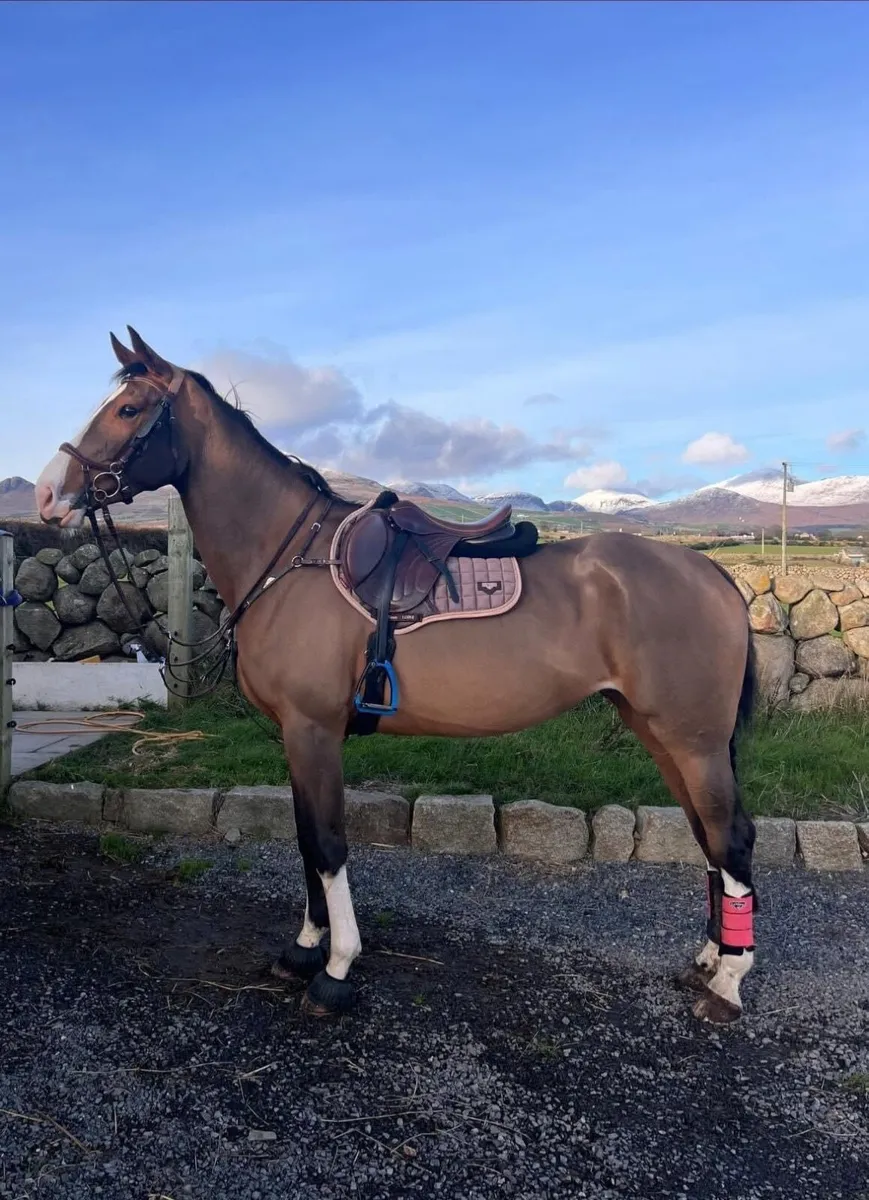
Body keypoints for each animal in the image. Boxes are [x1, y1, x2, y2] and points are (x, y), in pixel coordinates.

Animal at [35, 327, 758, 1023]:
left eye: (129, 409)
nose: (47, 494)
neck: (288, 557)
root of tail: (712, 572)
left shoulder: (312, 729)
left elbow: (327, 843)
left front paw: (336, 968)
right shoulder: (295, 735)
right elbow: (304, 838)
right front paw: (304, 948)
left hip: (692, 740)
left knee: (730, 839)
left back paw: (726, 984)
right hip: (662, 732)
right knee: (706, 837)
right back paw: (706, 958)